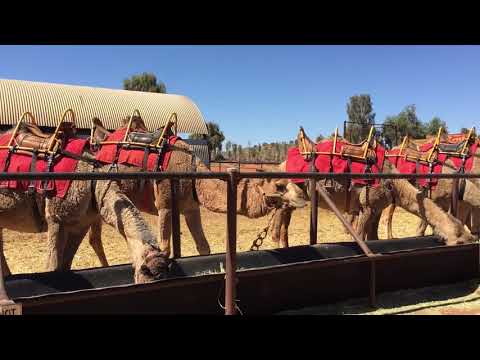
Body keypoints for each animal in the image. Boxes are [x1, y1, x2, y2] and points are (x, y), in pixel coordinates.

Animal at [0, 118, 169, 298]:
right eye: (148, 276)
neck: (91, 182)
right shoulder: (56, 218)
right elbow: (52, 266)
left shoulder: (80, 224)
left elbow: (65, 266)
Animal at [268, 128, 478, 249]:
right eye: (459, 239)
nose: (472, 239)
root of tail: (282, 162)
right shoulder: (367, 206)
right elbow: (361, 236)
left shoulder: (377, 207)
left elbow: (374, 237)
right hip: (292, 191)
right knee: (280, 218)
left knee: (283, 218)